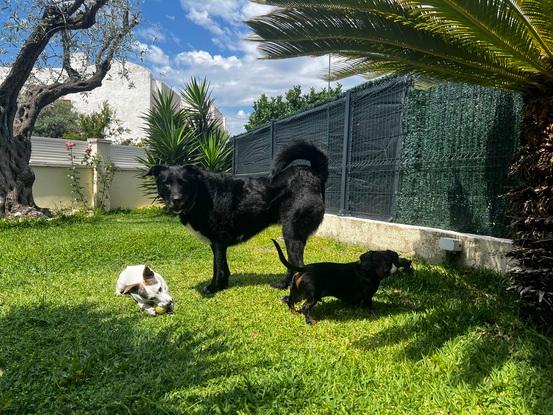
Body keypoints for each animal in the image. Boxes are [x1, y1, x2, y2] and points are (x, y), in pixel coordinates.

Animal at [146, 141, 328, 296]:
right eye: (166, 183)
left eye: (184, 182)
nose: (176, 199)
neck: (201, 194)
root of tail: (314, 174)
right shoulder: (218, 243)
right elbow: (223, 266)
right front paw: (223, 286)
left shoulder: (218, 241)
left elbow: (216, 267)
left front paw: (212, 288)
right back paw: (282, 285)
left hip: (291, 232)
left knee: (297, 264)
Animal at [272, 239, 410, 324]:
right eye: (376, 262)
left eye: (389, 260)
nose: (386, 269)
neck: (366, 270)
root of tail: (304, 268)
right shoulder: (368, 295)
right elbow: (369, 305)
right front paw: (373, 313)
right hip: (313, 296)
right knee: (305, 307)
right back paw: (311, 321)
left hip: (297, 292)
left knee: (290, 302)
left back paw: (295, 313)